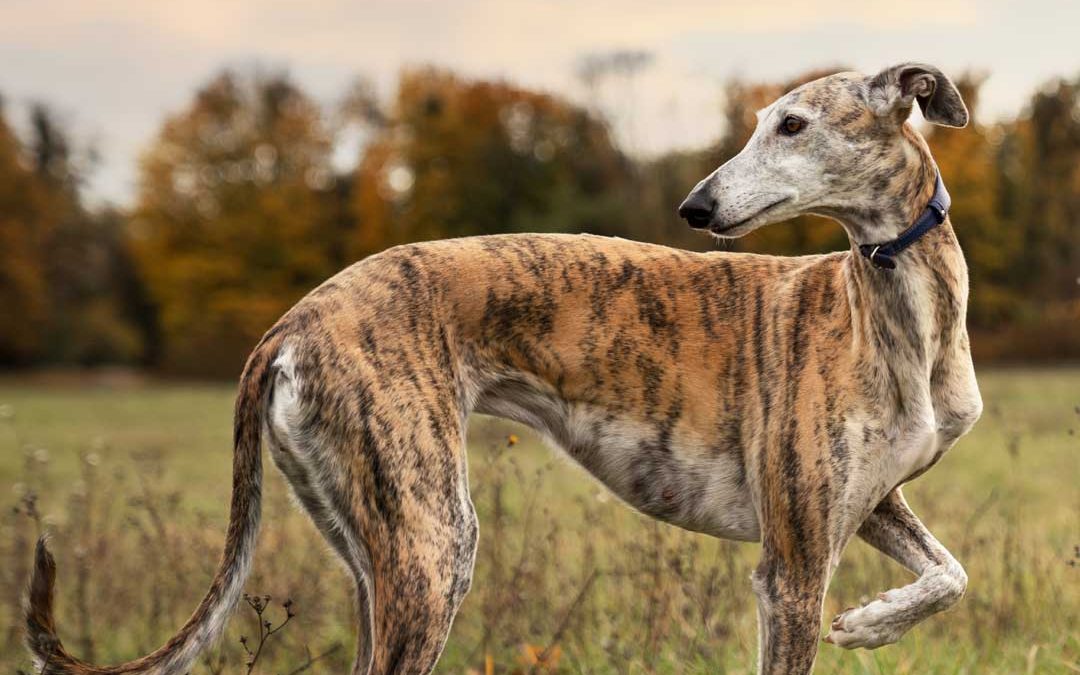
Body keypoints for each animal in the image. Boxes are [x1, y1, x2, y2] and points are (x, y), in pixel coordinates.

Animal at [29, 63, 984, 673]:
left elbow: (952, 572)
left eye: (792, 125)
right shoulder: (790, 565)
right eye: (761, 123)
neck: (894, 311)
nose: (696, 206)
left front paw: (872, 622)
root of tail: (293, 322)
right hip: (433, 540)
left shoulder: (868, 503)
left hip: (375, 553)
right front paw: (868, 622)